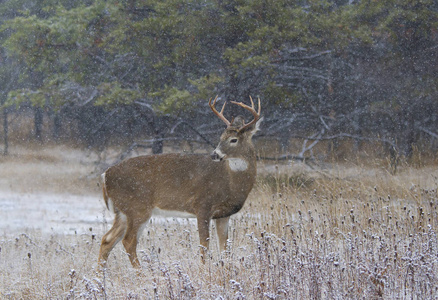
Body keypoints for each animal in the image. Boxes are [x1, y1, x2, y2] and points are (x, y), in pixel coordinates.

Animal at [99, 96, 260, 268]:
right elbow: (204, 246)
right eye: (221, 138)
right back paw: (142, 271)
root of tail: (106, 174)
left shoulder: (224, 214)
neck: (231, 182)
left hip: (123, 211)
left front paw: (226, 269)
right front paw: (204, 269)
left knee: (107, 239)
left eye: (233, 139)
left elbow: (225, 248)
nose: (215, 155)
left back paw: (101, 272)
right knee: (128, 241)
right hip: (137, 207)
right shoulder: (202, 205)